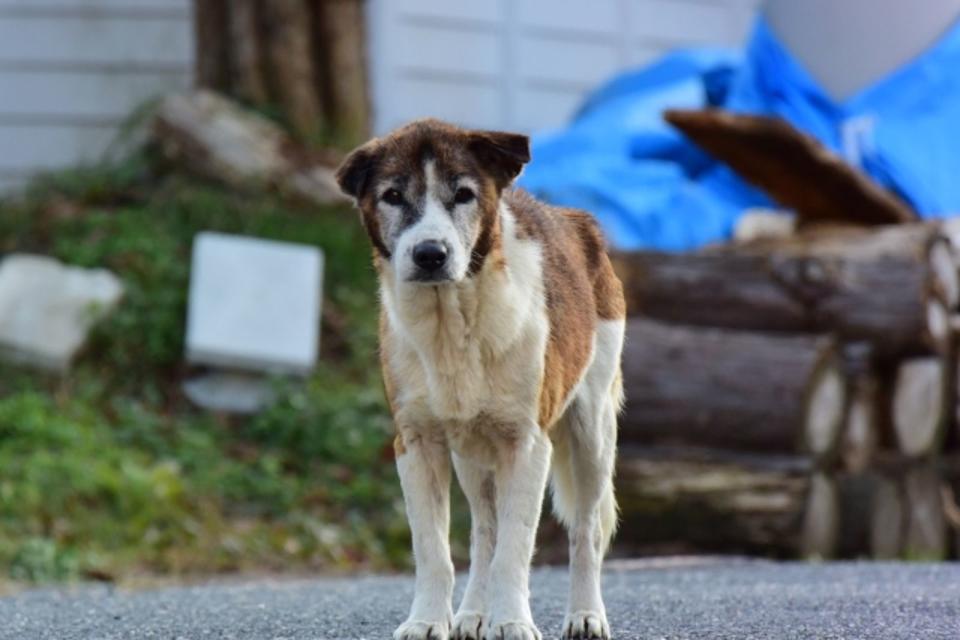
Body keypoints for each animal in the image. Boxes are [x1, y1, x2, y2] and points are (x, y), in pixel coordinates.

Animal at [340, 120, 632, 640]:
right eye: (392, 195)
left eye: (463, 195)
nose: (430, 254)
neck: (451, 325)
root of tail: (578, 220)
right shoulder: (417, 444)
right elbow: (436, 551)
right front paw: (428, 621)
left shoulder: (528, 445)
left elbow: (515, 550)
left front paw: (512, 622)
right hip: (472, 455)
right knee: (483, 530)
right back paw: (473, 614)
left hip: (592, 432)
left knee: (586, 530)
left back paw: (585, 615)